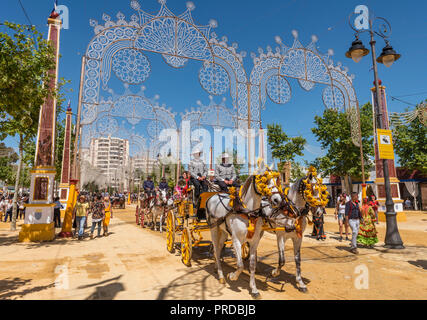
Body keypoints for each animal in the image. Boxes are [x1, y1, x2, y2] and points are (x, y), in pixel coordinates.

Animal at [206, 162, 284, 300]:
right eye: (263, 178)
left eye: (276, 179)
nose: (277, 200)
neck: (248, 211)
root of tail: (213, 196)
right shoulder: (236, 240)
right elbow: (240, 265)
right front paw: (232, 276)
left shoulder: (254, 241)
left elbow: (252, 265)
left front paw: (254, 289)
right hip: (214, 228)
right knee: (215, 248)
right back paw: (221, 275)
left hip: (224, 232)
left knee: (219, 248)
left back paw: (216, 267)